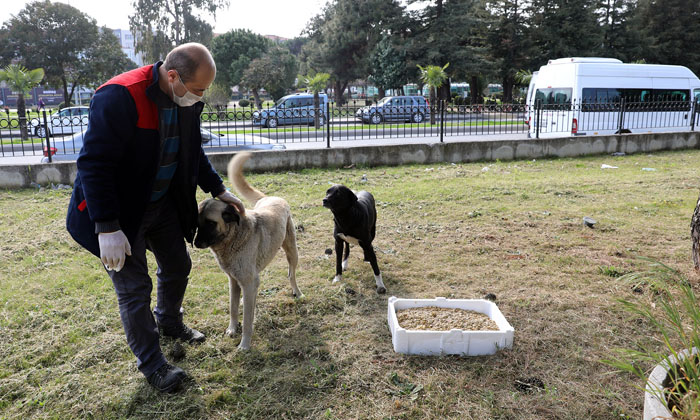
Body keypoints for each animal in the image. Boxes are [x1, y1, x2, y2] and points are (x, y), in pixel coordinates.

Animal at [193, 153, 302, 350]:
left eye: (211, 223)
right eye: (197, 223)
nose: (196, 243)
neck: (233, 237)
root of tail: (271, 197)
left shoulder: (248, 282)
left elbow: (247, 319)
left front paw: (244, 344)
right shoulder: (234, 281)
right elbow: (233, 308)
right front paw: (232, 329)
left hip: (292, 251)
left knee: (291, 274)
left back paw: (297, 292)